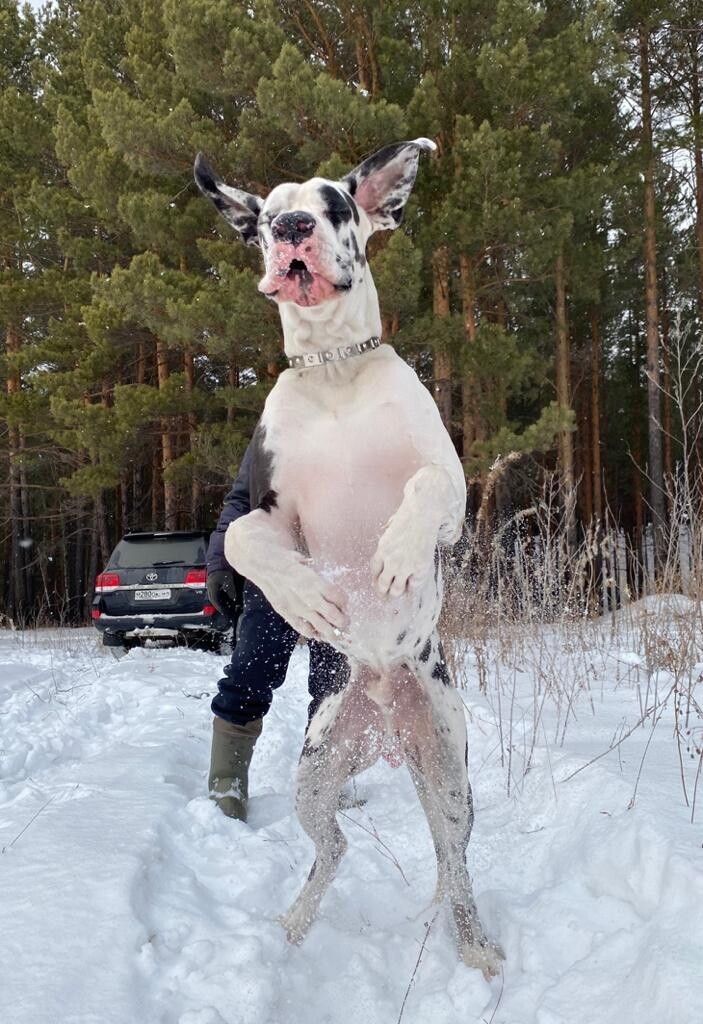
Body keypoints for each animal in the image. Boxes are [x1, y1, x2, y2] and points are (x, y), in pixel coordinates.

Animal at [194, 139, 503, 977]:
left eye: (333, 204)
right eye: (266, 215)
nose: (292, 227)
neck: (333, 368)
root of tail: (388, 729)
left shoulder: (450, 489)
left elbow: (426, 487)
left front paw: (394, 554)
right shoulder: (267, 505)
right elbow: (240, 537)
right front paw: (304, 596)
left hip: (450, 771)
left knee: (454, 859)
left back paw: (473, 942)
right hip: (315, 771)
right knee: (330, 850)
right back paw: (296, 921)